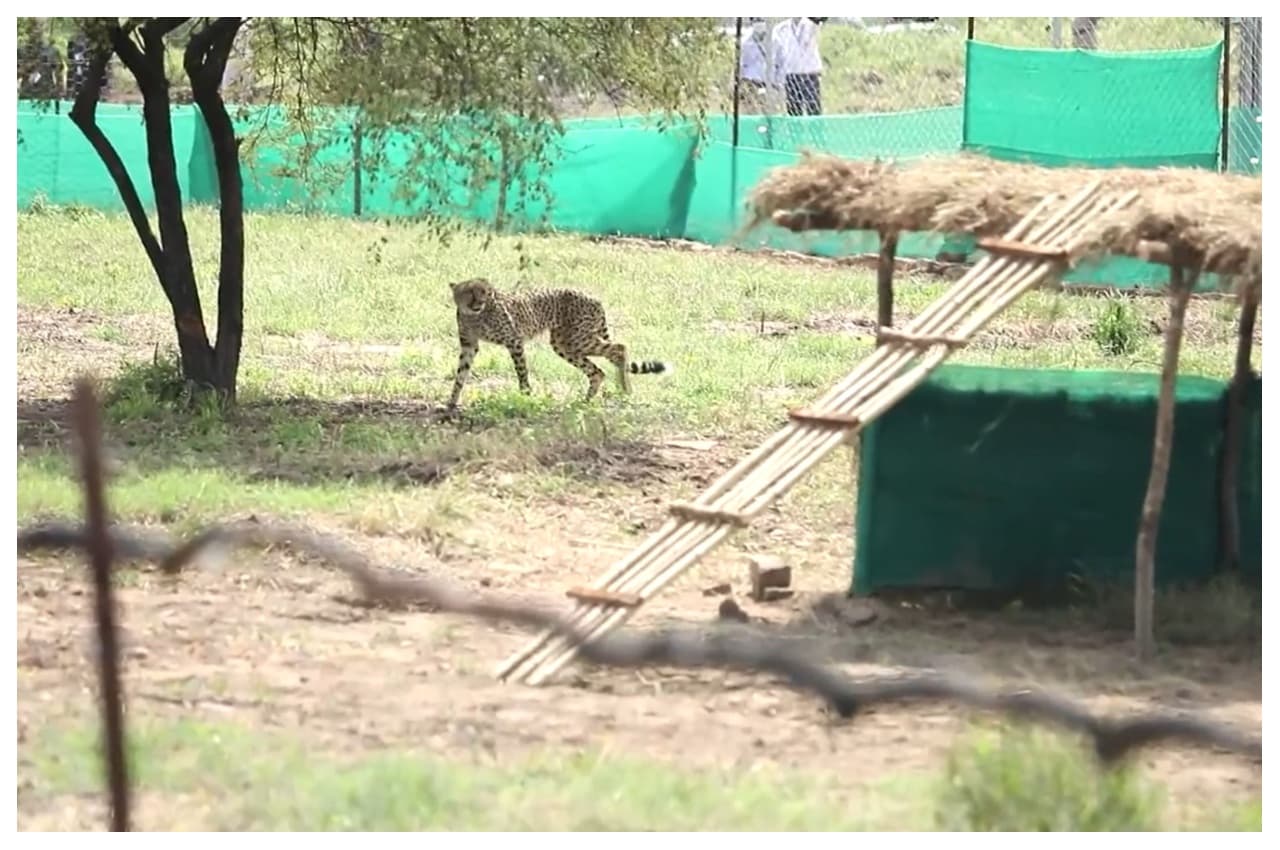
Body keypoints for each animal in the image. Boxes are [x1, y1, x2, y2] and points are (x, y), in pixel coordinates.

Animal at [446, 277, 669, 409]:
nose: (480, 302)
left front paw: (526, 396)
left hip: (578, 339)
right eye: (470, 292)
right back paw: (585, 401)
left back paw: (625, 389)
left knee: (619, 348)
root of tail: (594, 298)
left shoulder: (514, 341)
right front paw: (451, 402)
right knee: (598, 370)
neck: (474, 315)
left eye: (484, 292)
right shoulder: (469, 345)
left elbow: (521, 371)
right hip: (564, 344)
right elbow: (461, 374)